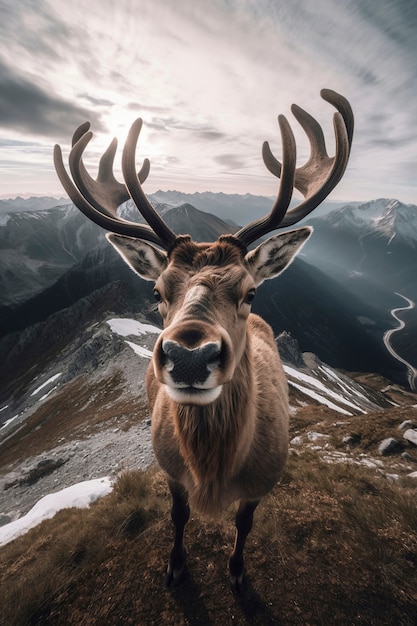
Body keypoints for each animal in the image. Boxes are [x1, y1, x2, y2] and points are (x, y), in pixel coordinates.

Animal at [52, 89, 352, 588]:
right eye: (157, 291)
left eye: (251, 292)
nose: (190, 355)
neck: (215, 472)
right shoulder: (169, 469)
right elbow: (178, 516)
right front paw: (175, 565)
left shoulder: (265, 480)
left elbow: (245, 523)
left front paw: (237, 571)